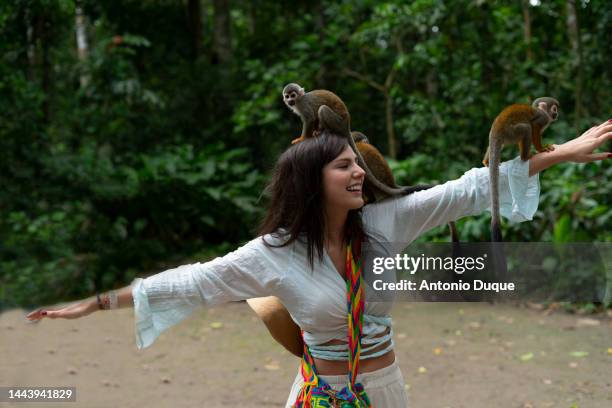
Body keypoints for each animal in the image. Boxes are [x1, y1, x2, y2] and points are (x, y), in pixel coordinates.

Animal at [482, 96, 560, 242]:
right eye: (554, 108)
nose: (556, 114)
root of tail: (497, 128)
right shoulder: (543, 117)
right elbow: (534, 126)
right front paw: (541, 149)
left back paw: (486, 161)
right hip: (511, 132)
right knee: (526, 128)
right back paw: (525, 156)